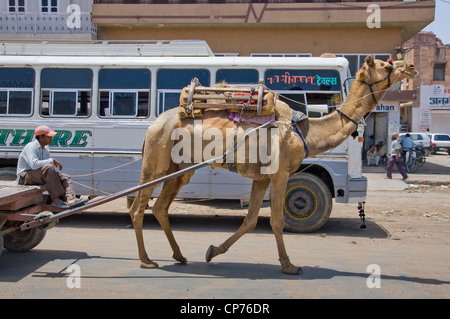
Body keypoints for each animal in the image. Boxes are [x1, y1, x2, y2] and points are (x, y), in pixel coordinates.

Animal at [128, 55, 416, 276]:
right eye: (386, 66)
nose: (410, 67)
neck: (303, 132)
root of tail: (153, 126)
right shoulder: (280, 174)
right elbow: (276, 220)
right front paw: (289, 266)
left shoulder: (261, 178)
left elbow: (251, 220)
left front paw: (213, 251)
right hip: (155, 161)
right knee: (137, 207)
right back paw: (146, 260)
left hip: (178, 169)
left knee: (160, 207)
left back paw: (179, 255)